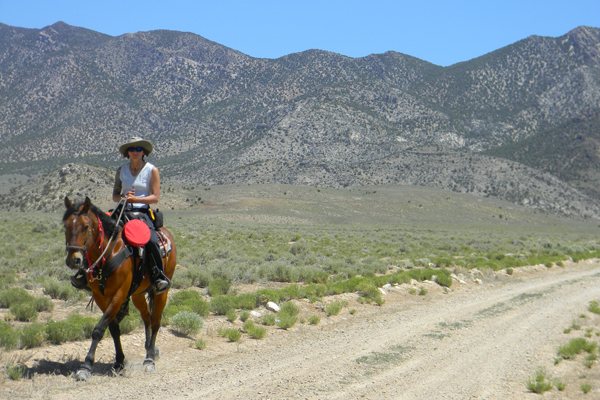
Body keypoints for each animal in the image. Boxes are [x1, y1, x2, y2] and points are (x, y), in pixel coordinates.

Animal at [62, 197, 176, 382]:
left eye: (85, 226)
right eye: (66, 226)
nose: (74, 260)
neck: (108, 251)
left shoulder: (119, 294)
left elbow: (99, 329)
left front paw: (86, 366)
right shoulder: (100, 296)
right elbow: (113, 328)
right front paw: (119, 362)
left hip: (161, 292)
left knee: (156, 321)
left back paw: (150, 358)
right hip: (138, 294)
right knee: (147, 318)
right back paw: (148, 348)